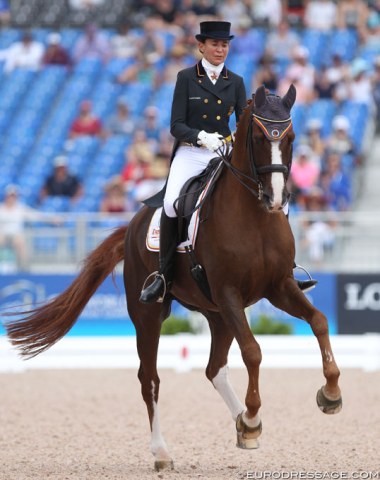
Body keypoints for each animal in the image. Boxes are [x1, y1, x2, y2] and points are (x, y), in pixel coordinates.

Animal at [2, 84, 342, 470]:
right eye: (258, 137)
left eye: (291, 138)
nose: (276, 198)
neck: (255, 216)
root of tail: (132, 225)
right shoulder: (229, 292)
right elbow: (253, 351)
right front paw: (255, 414)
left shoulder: (278, 286)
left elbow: (319, 321)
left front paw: (331, 394)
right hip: (152, 313)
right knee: (149, 379)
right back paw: (165, 451)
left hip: (216, 313)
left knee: (214, 369)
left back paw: (242, 424)